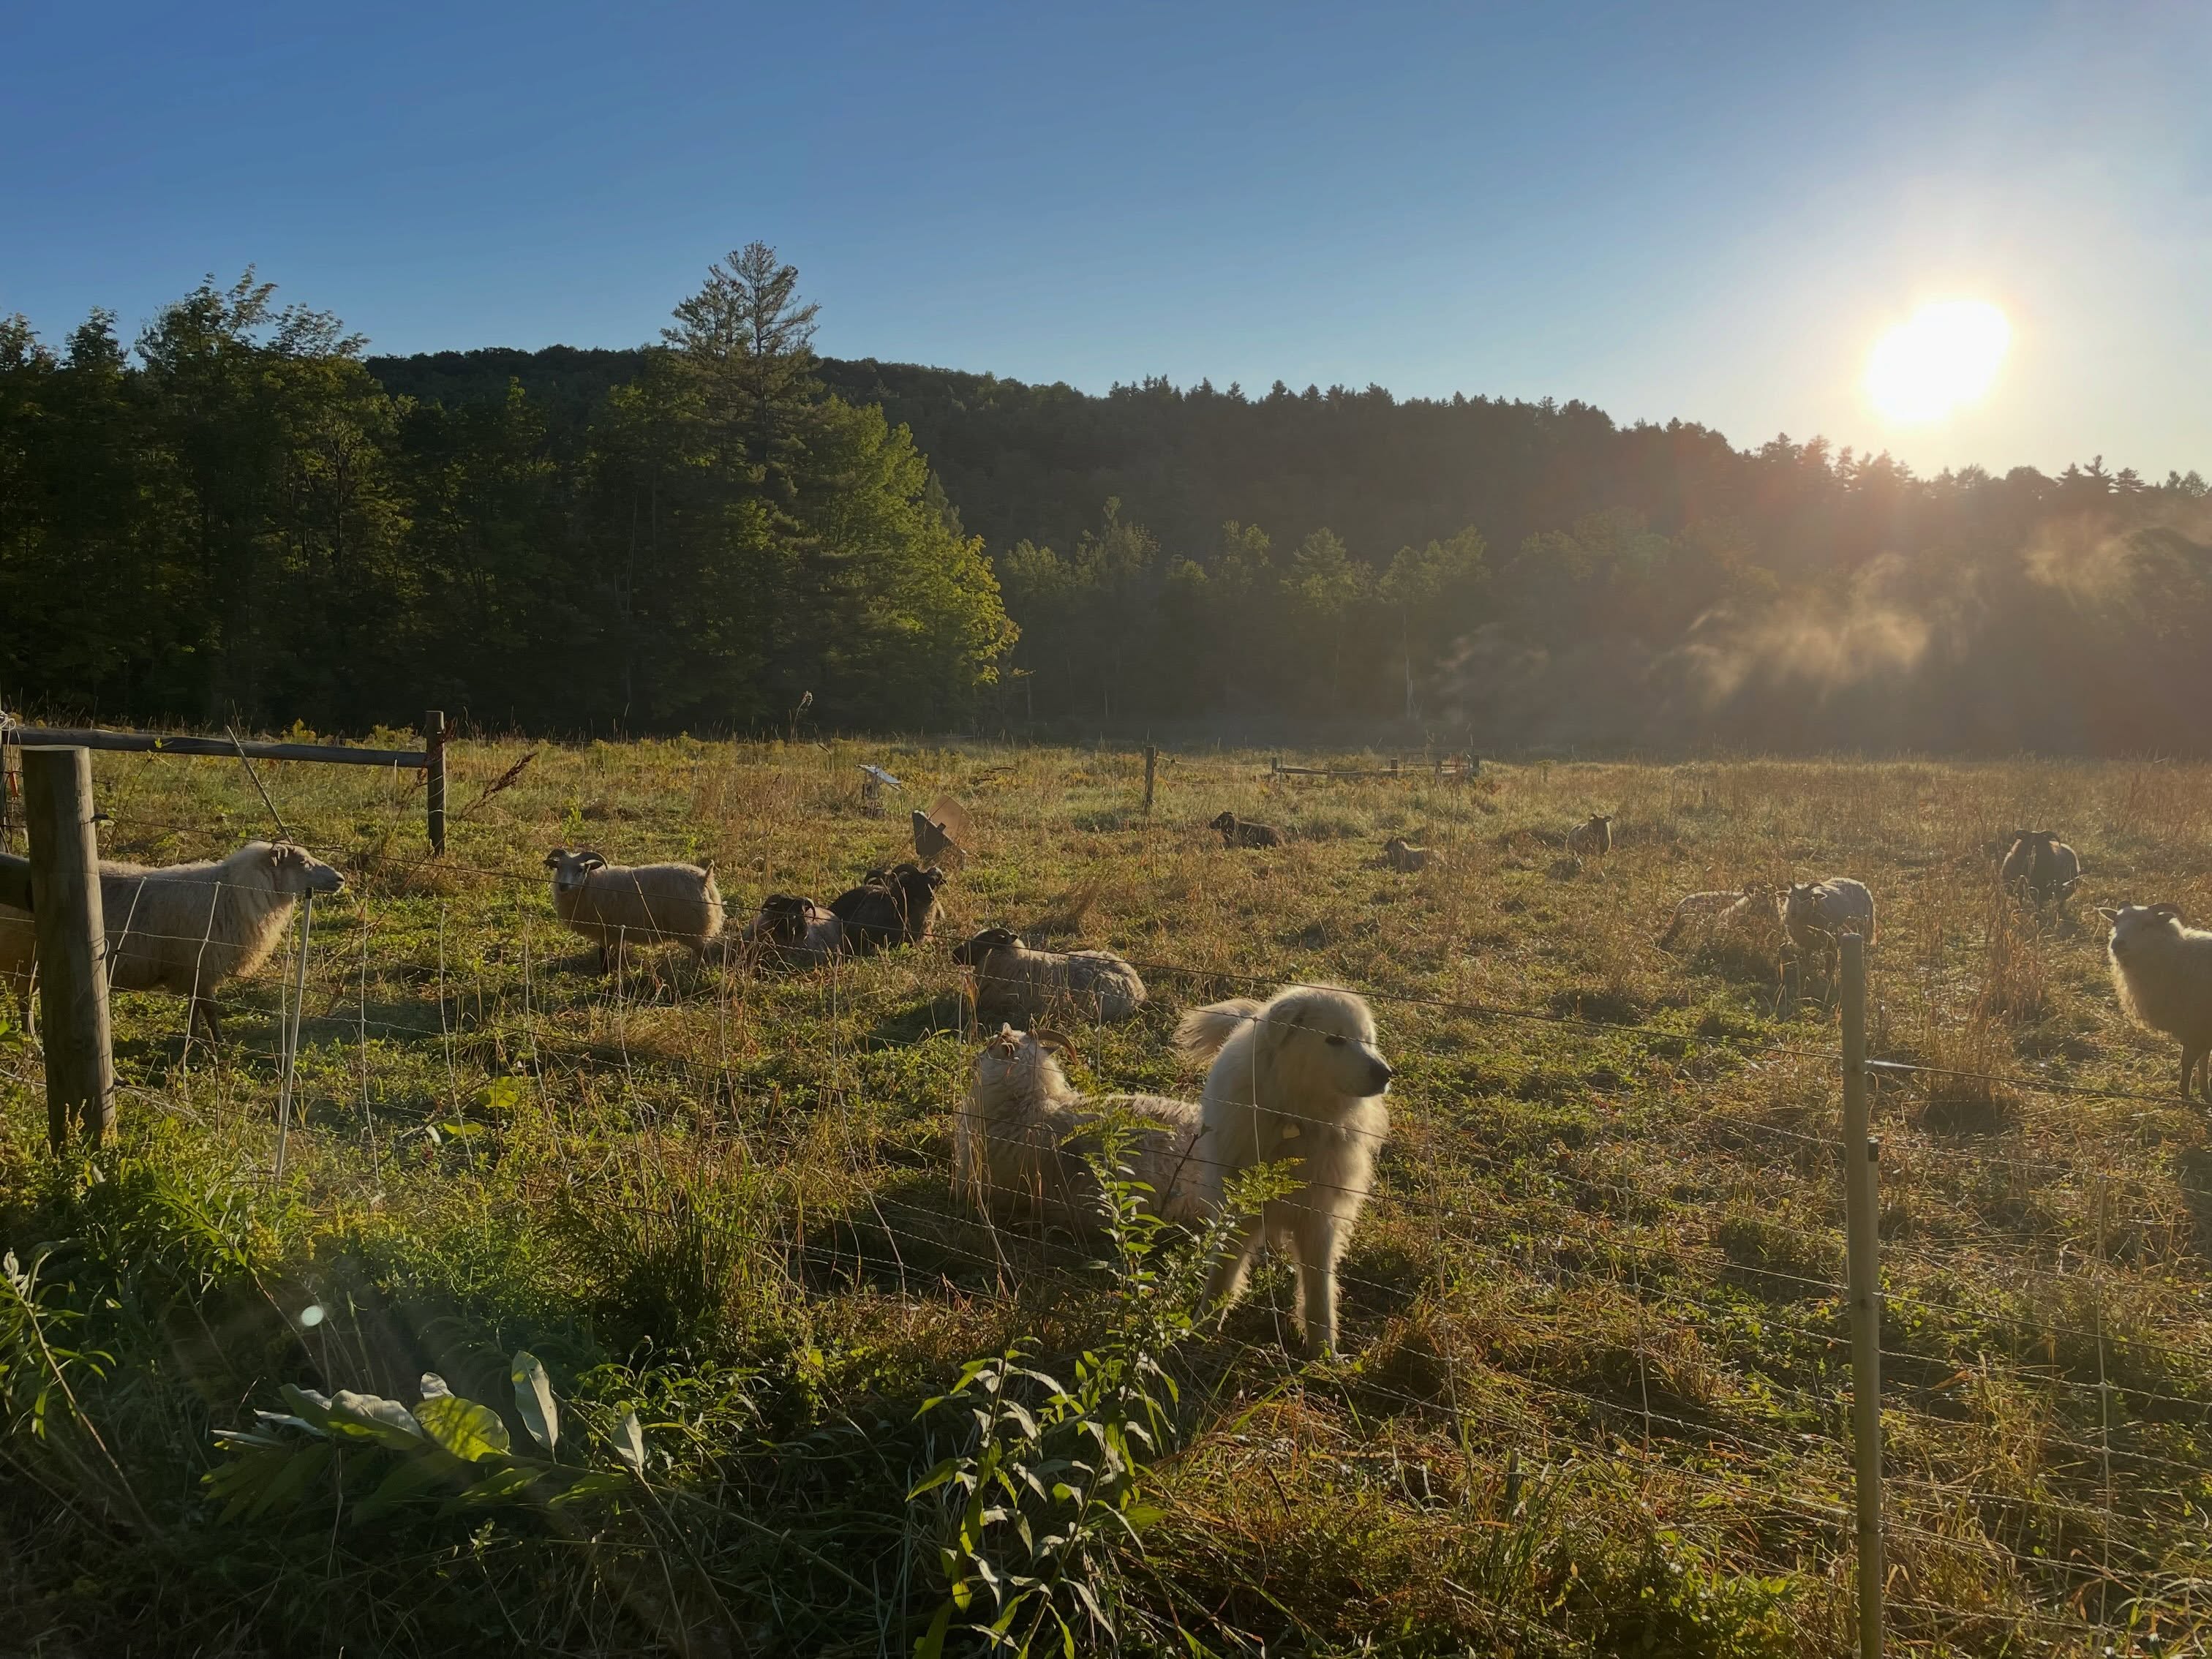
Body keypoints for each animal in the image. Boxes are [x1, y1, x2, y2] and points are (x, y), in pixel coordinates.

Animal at [0, 841, 347, 1038]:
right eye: (302, 862)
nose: (341, 879)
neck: (235, 893)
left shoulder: (194, 970)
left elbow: (196, 1009)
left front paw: (193, 1040)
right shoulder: (200, 965)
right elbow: (210, 1009)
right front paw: (218, 1046)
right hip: (26, 957)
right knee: (25, 999)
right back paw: (31, 1037)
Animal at [543, 848, 724, 971]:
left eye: (581, 869)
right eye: (558, 867)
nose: (563, 886)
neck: (592, 883)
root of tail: (704, 877)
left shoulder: (606, 928)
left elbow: (604, 953)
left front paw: (605, 973)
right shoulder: (616, 929)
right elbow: (615, 952)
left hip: (692, 925)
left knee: (704, 952)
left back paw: (704, 970)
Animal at [2099, 904, 2212, 1102]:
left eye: (2147, 924)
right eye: (2116, 922)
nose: (2117, 944)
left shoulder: (2196, 1024)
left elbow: (2188, 1061)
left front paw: (2183, 1094)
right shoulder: (2199, 1028)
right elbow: (2202, 1060)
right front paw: (2205, 1092)